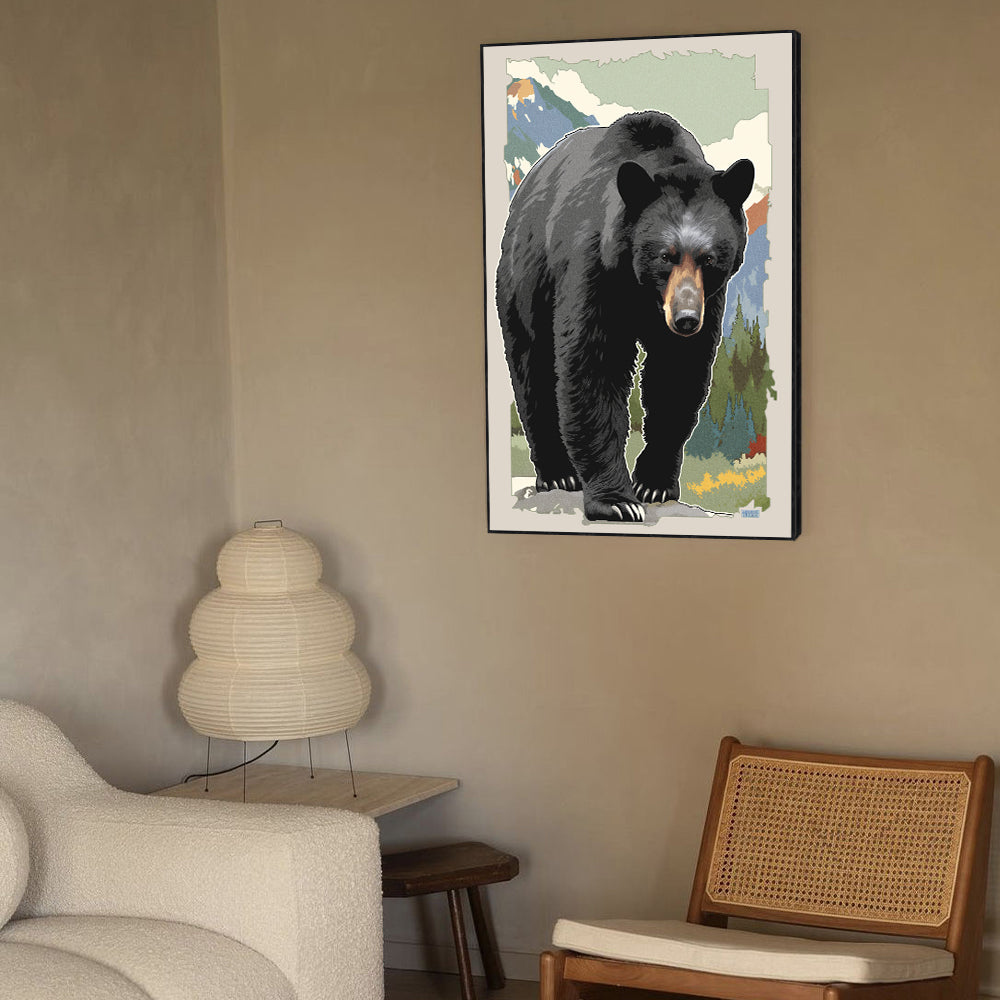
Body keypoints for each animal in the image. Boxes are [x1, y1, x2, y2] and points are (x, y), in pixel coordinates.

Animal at [496, 110, 755, 523]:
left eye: (709, 257)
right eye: (665, 255)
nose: (685, 319)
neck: (641, 289)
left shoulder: (710, 298)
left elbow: (678, 372)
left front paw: (654, 482)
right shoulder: (595, 270)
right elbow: (593, 365)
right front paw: (616, 500)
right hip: (526, 280)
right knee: (532, 366)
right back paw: (557, 474)